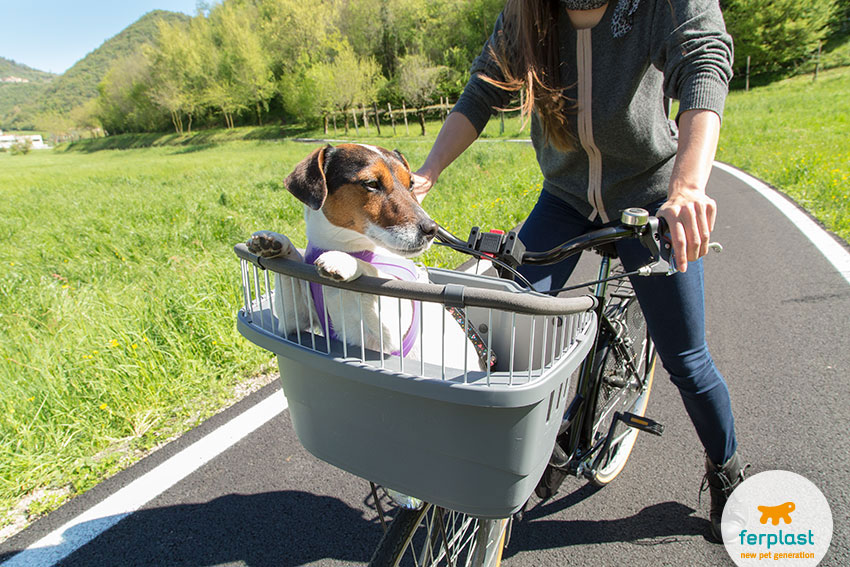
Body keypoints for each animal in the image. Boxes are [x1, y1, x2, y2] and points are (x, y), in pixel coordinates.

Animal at [247, 143, 484, 372]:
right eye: (371, 183)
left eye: (411, 184)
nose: (431, 229)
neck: (347, 245)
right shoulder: (292, 323)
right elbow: (293, 267)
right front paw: (274, 242)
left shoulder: (392, 330)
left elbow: (373, 270)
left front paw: (345, 261)